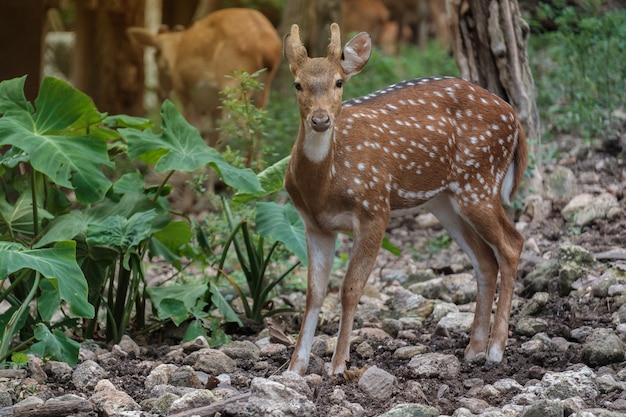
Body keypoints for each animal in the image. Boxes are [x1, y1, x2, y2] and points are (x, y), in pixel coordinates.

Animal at [282, 22, 528, 374]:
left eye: (339, 82)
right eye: (298, 84)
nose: (320, 119)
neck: (325, 186)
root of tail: (515, 119)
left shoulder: (375, 209)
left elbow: (350, 288)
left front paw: (339, 365)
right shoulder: (314, 224)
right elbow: (314, 292)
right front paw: (295, 367)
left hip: (479, 183)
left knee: (511, 244)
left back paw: (495, 350)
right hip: (445, 202)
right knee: (484, 259)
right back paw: (474, 349)